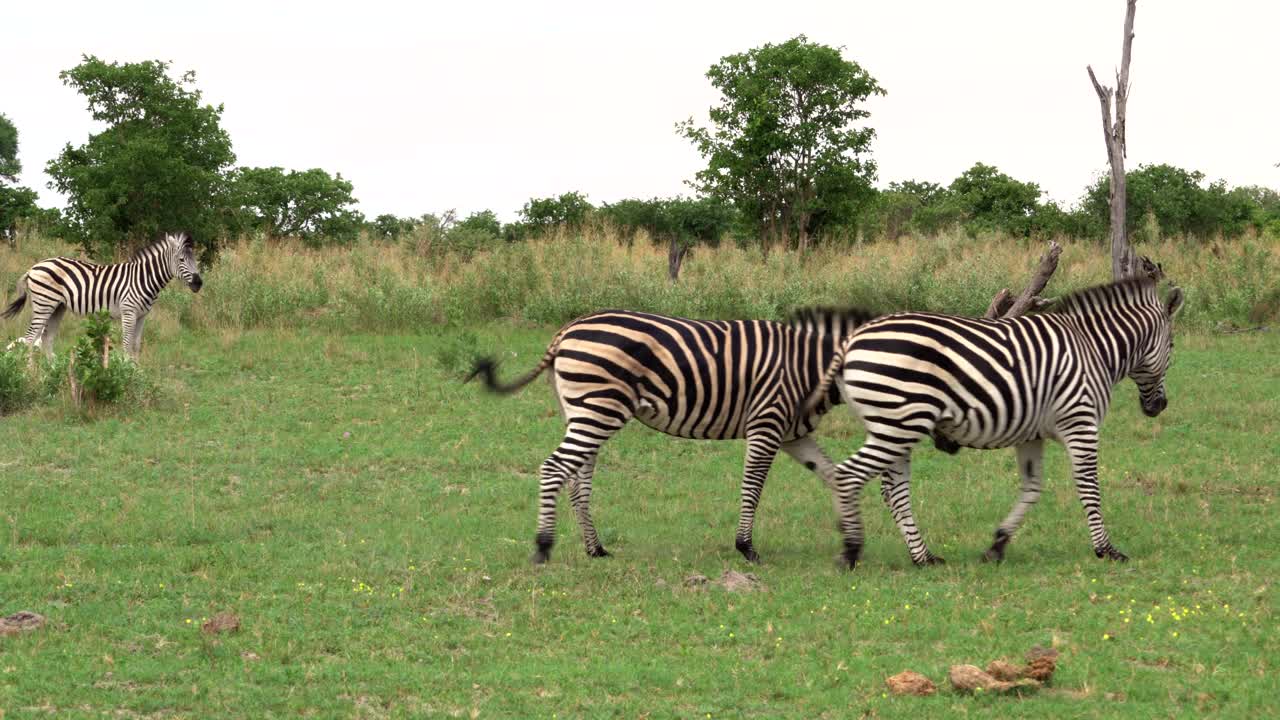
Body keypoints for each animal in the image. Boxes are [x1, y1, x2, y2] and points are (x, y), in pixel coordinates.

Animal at [2, 232, 202, 360]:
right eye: (181, 260)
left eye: (195, 260)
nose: (199, 283)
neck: (143, 278)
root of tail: (33, 268)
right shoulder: (129, 312)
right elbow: (127, 344)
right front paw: (127, 374)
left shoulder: (142, 316)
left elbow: (136, 346)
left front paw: (137, 373)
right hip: (44, 303)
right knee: (30, 339)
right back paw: (31, 375)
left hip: (57, 307)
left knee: (45, 339)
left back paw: (53, 374)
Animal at [467, 307, 878, 564]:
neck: (810, 365)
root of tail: (566, 331)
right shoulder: (768, 421)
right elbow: (753, 487)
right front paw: (746, 547)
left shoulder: (793, 434)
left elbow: (833, 475)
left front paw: (848, 533)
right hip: (597, 409)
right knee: (555, 469)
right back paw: (543, 547)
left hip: (582, 411)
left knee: (576, 480)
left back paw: (595, 549)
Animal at [800, 277, 1186, 569]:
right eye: (1172, 345)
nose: (1160, 406)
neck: (1093, 349)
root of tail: (853, 339)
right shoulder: (1080, 421)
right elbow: (1089, 487)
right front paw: (1106, 549)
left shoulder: (1032, 434)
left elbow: (1032, 488)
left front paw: (998, 544)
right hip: (898, 423)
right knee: (849, 475)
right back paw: (852, 551)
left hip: (893, 425)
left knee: (893, 490)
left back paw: (923, 557)